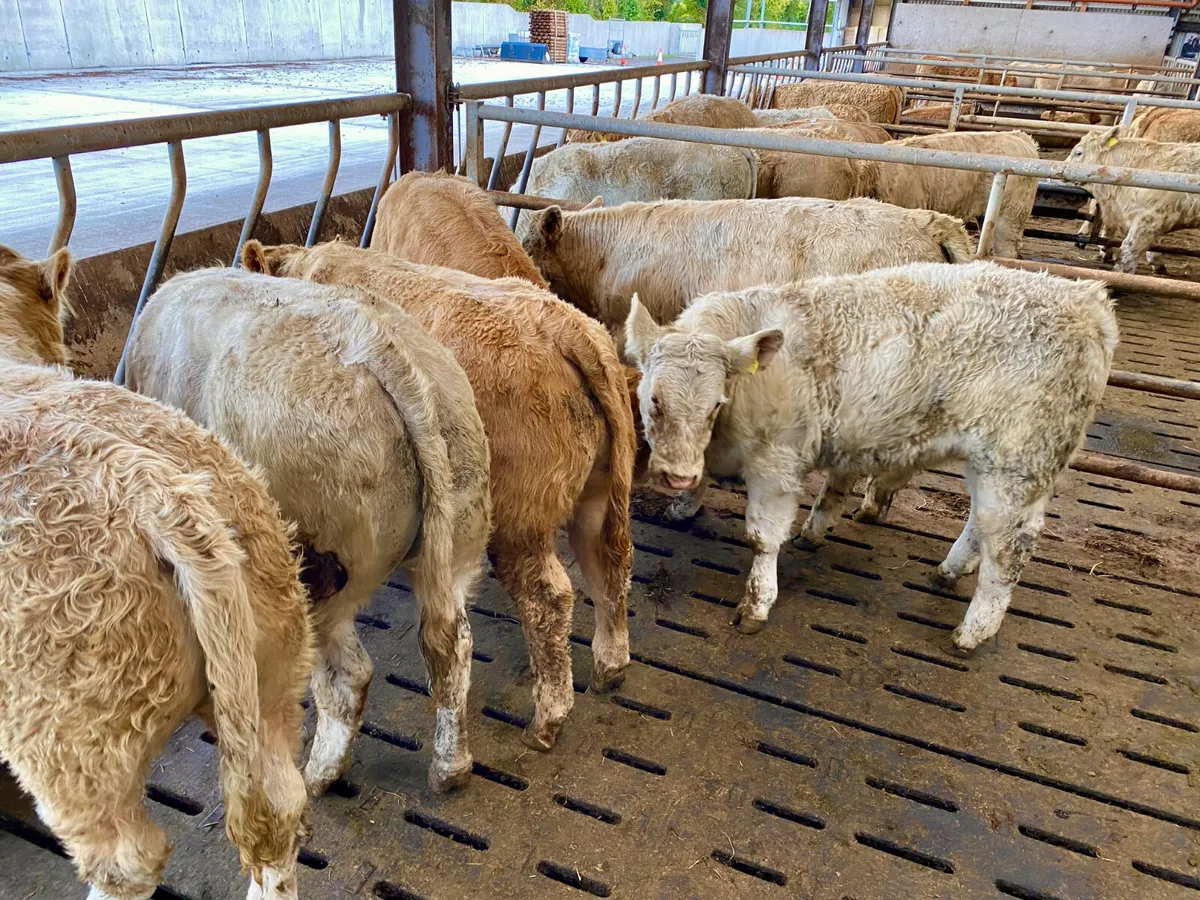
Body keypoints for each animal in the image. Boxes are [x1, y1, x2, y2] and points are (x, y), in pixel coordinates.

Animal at [126, 267, 491, 797]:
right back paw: (450, 769)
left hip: (316, 571)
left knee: (348, 675)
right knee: (451, 645)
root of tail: (378, 346)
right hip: (459, 535)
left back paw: (318, 775)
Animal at [241, 241, 636, 753]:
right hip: (600, 490)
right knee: (609, 560)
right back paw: (611, 664)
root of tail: (570, 327)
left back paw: (547, 721)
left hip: (519, 517)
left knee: (548, 597)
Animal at [625, 261, 1117, 649]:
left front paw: (756, 605)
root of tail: (1087, 300)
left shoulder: (776, 466)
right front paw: (684, 504)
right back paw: (950, 570)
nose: (676, 476)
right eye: (654, 400)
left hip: (1017, 463)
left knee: (1009, 546)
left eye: (715, 404)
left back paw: (973, 631)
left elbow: (762, 539)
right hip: (995, 466)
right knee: (982, 524)